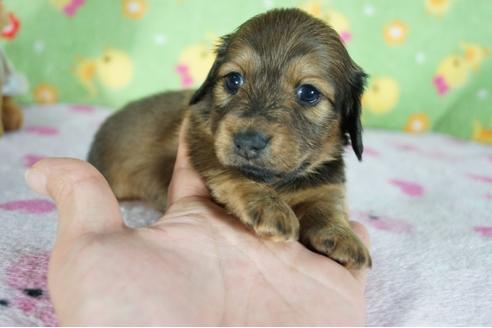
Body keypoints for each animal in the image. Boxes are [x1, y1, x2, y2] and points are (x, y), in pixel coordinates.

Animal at [89, 8, 372, 270]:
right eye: (234, 79)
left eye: (309, 93)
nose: (248, 141)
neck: (280, 182)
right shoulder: (203, 140)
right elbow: (233, 170)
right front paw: (269, 205)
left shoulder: (325, 181)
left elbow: (327, 203)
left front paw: (342, 235)